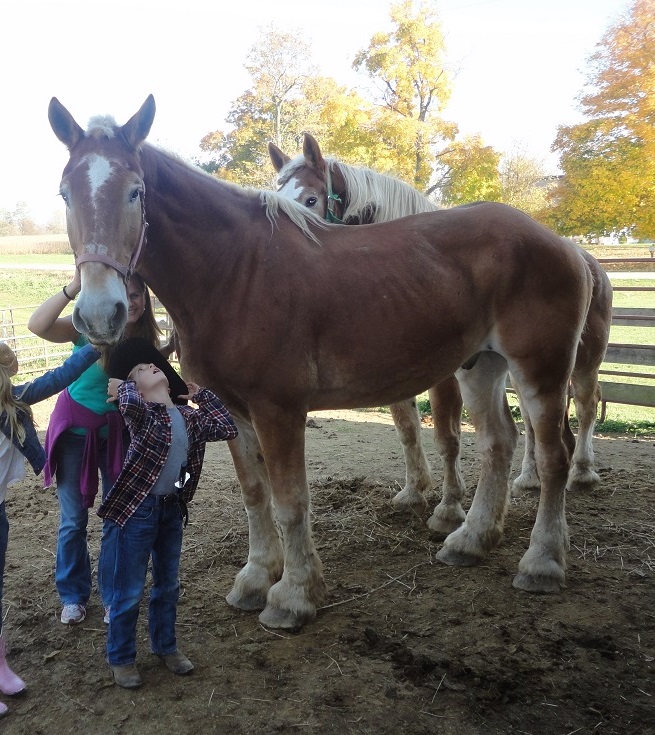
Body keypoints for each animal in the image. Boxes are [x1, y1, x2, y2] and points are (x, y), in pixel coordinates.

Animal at [269, 133, 613, 510]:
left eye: (311, 199)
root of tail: (581, 257)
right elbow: (407, 427)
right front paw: (413, 490)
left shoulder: (446, 377)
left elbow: (447, 436)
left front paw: (450, 502)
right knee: (534, 420)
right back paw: (528, 477)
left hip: (582, 361)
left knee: (585, 406)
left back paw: (582, 471)